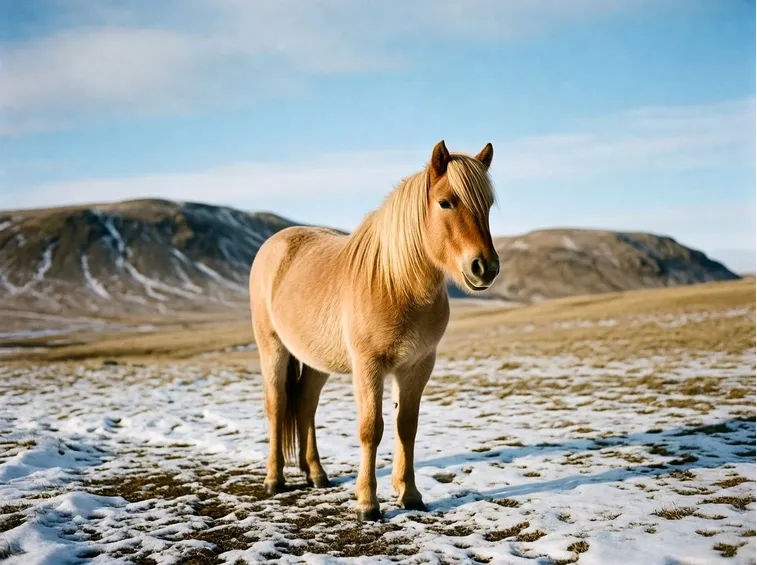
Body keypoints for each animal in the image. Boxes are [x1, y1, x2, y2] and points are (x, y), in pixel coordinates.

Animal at [249, 140, 500, 521]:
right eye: (445, 202)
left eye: (488, 205)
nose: (485, 267)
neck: (395, 282)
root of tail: (273, 244)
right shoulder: (369, 366)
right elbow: (371, 429)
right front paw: (368, 503)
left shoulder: (417, 366)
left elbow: (406, 427)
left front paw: (410, 494)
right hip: (273, 349)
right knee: (277, 406)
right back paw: (274, 480)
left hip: (317, 361)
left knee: (306, 404)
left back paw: (315, 474)